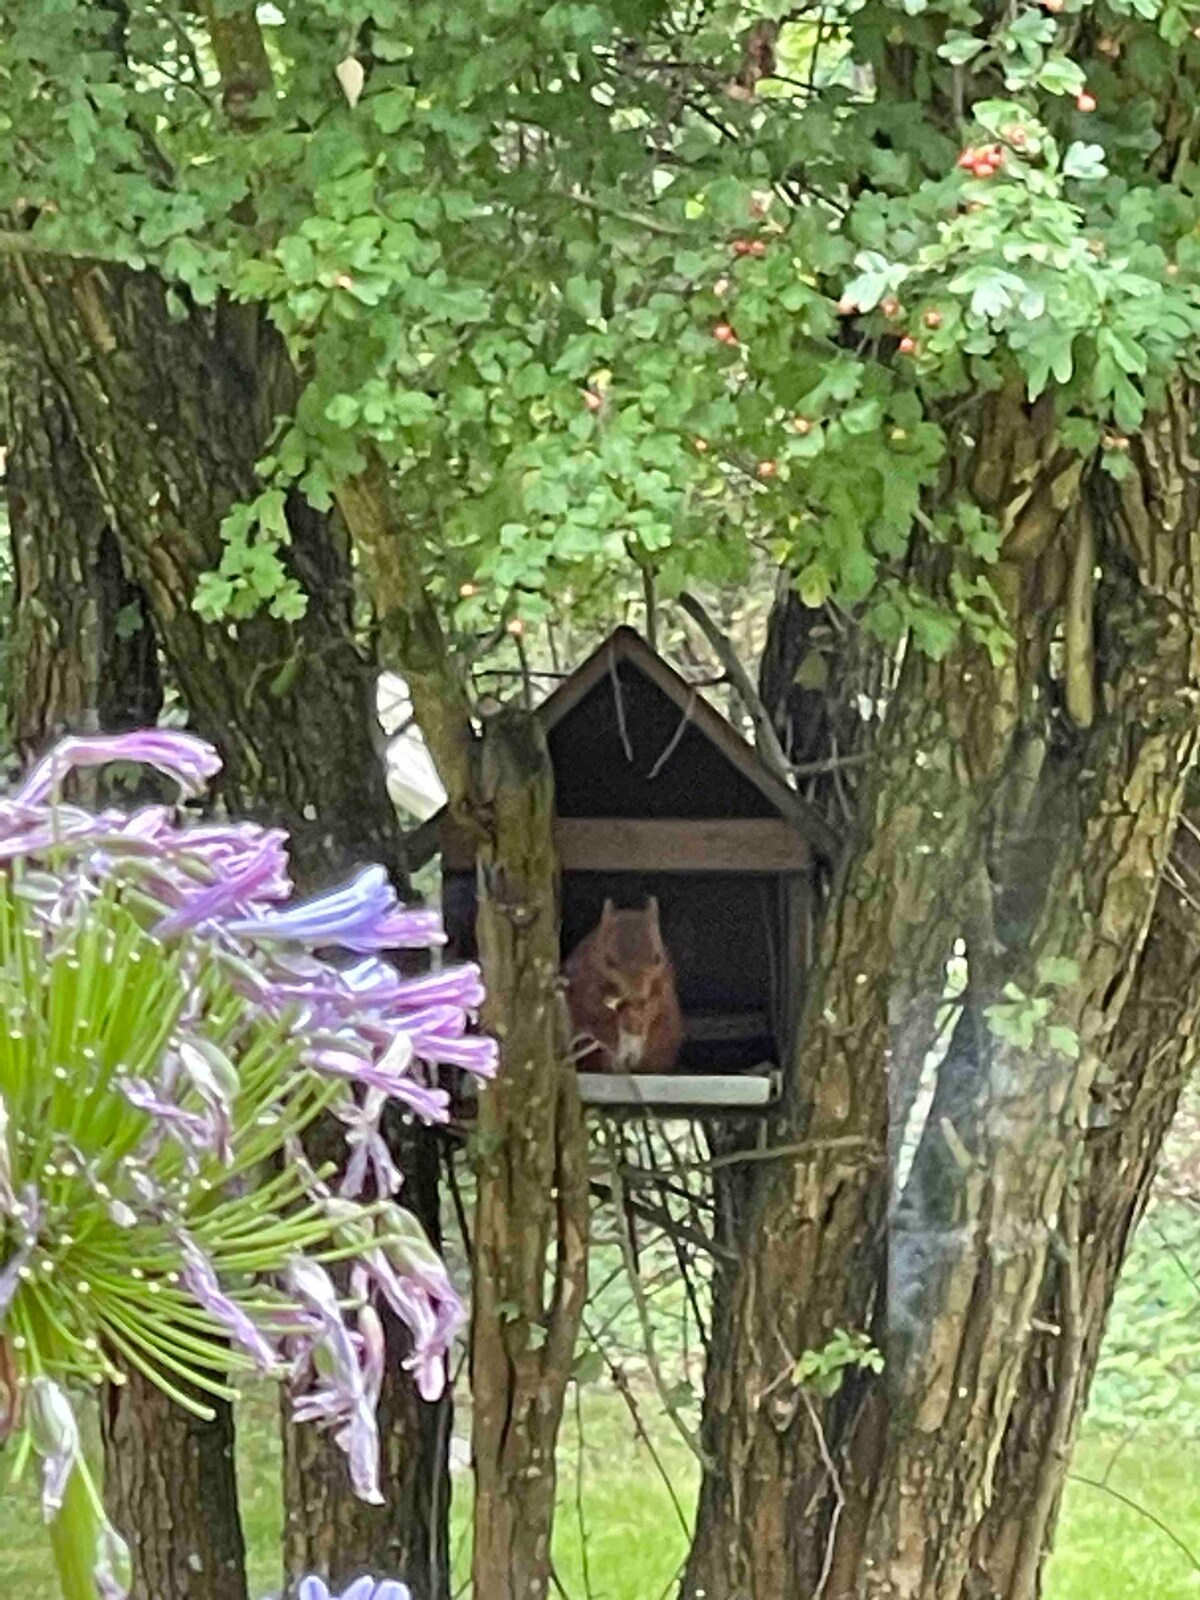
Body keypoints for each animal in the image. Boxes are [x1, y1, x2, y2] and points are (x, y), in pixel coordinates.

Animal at [563, 902, 684, 1075]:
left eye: (658, 958)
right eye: (608, 961)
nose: (637, 995)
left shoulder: (664, 982)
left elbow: (656, 1003)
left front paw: (642, 1015)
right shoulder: (586, 983)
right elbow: (595, 1007)